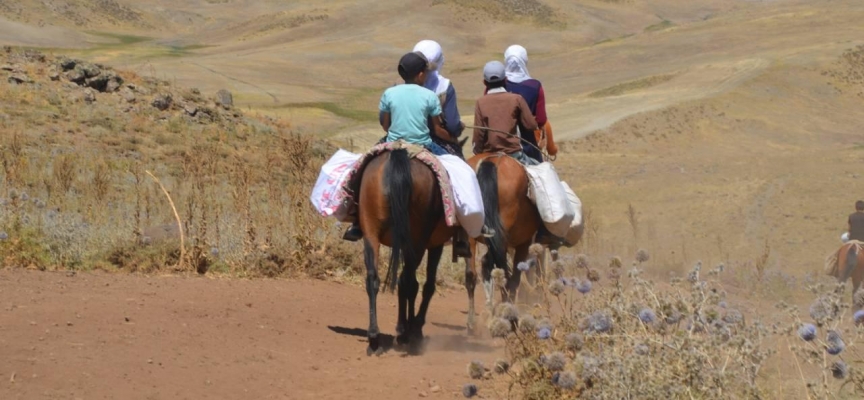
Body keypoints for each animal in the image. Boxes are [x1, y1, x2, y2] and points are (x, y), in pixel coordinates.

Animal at [358, 148, 456, 354]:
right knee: (407, 280)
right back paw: (404, 333)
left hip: (371, 232)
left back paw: (374, 338)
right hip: (417, 241)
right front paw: (415, 328)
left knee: (373, 279)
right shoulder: (435, 245)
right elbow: (426, 286)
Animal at [466, 153, 540, 332]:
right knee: (504, 276)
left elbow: (486, 266)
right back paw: (509, 319)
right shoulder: (524, 243)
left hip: (470, 234)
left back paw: (472, 322)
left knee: (472, 275)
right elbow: (515, 278)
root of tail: (490, 160)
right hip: (503, 240)